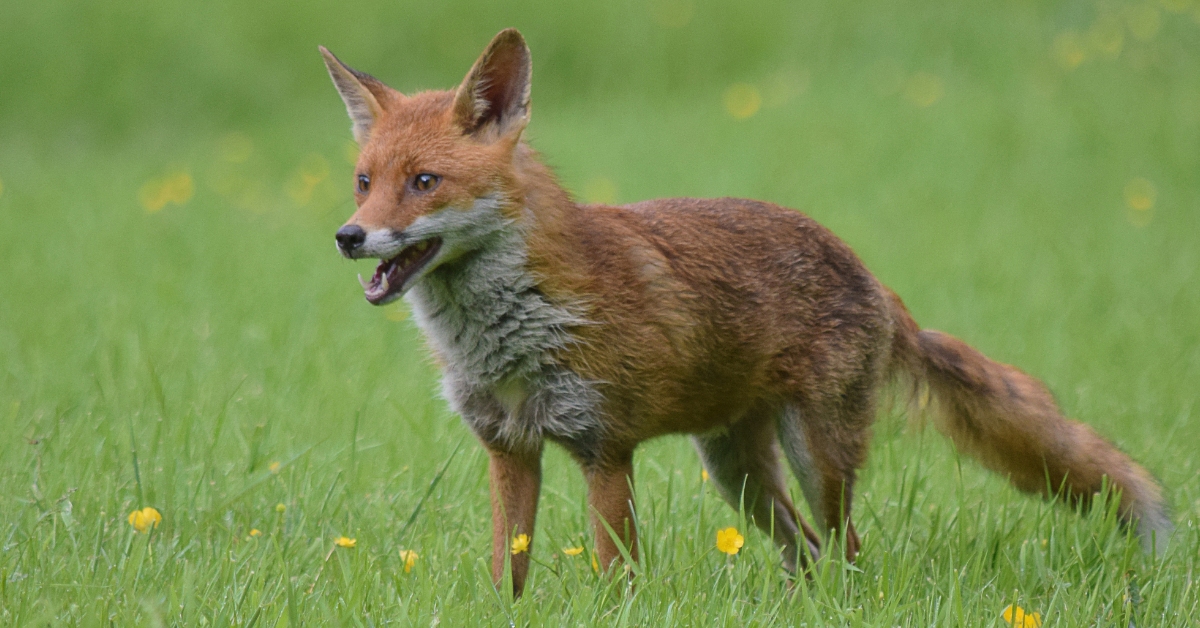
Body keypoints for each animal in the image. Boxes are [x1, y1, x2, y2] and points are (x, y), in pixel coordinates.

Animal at [321, 28, 1171, 595]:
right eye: (365, 181)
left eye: (424, 183)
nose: (348, 237)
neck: (508, 335)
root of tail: (867, 271)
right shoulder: (509, 450)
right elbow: (510, 573)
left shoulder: (604, 449)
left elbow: (615, 575)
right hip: (738, 473)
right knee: (806, 551)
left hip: (815, 456)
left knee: (846, 548)